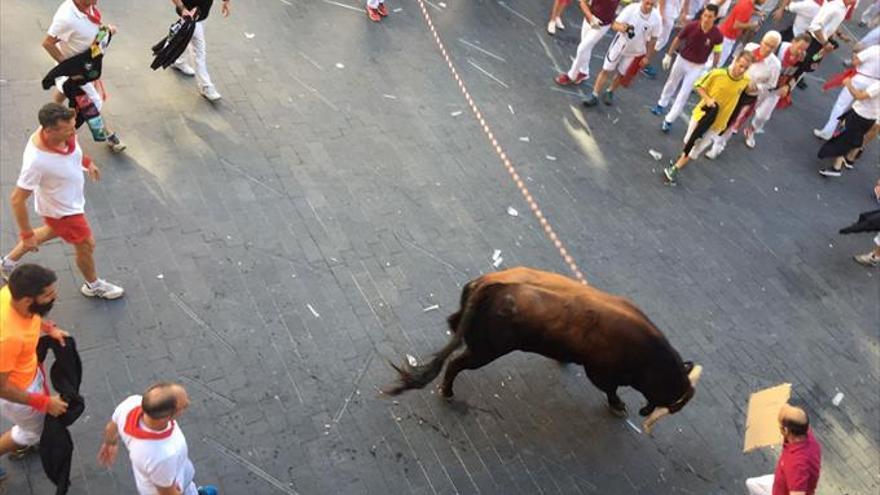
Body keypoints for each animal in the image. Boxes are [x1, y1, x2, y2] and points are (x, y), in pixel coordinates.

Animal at [384, 268, 700, 434]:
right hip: (485, 351)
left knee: (452, 325)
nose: (650, 412)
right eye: (673, 402)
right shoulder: (600, 373)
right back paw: (447, 392)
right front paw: (618, 406)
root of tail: (492, 282)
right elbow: (610, 390)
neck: (650, 358)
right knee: (455, 364)